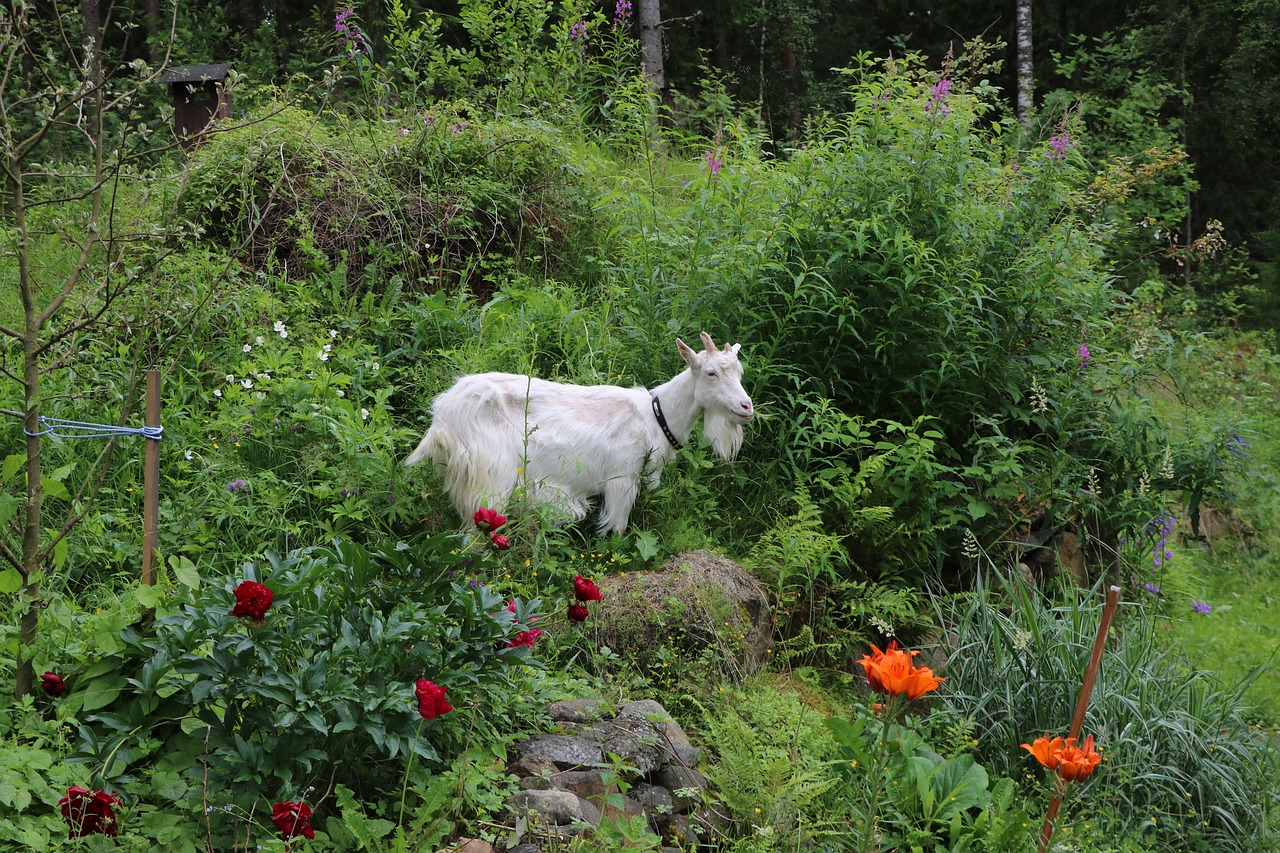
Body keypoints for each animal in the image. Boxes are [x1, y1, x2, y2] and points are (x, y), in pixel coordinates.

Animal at [404, 333, 752, 532]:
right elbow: (618, 528)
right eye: (710, 373)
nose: (746, 406)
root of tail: (442, 416)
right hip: (489, 479)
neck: (655, 416)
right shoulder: (621, 480)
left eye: (739, 371)